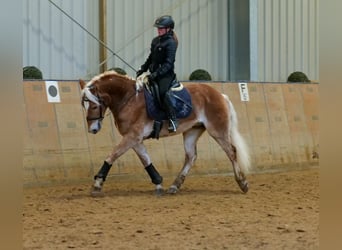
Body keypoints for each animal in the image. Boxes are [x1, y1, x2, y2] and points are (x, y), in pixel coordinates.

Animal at [79, 70, 251, 195]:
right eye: (84, 105)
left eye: (93, 105)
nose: (92, 129)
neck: (128, 100)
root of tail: (220, 95)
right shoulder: (135, 139)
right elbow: (146, 160)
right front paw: (158, 183)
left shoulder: (132, 136)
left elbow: (112, 156)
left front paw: (97, 184)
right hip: (192, 131)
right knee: (191, 157)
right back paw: (174, 186)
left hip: (217, 131)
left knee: (231, 151)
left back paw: (242, 183)